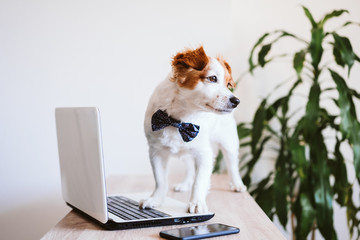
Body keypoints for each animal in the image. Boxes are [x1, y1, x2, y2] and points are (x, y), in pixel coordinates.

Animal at [139, 47, 246, 214]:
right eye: (212, 78)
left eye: (228, 84)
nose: (236, 101)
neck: (180, 119)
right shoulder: (156, 152)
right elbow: (160, 181)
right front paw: (155, 199)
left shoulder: (204, 154)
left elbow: (199, 181)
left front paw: (196, 203)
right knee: (189, 166)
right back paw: (185, 184)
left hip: (229, 143)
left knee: (232, 164)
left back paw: (237, 184)